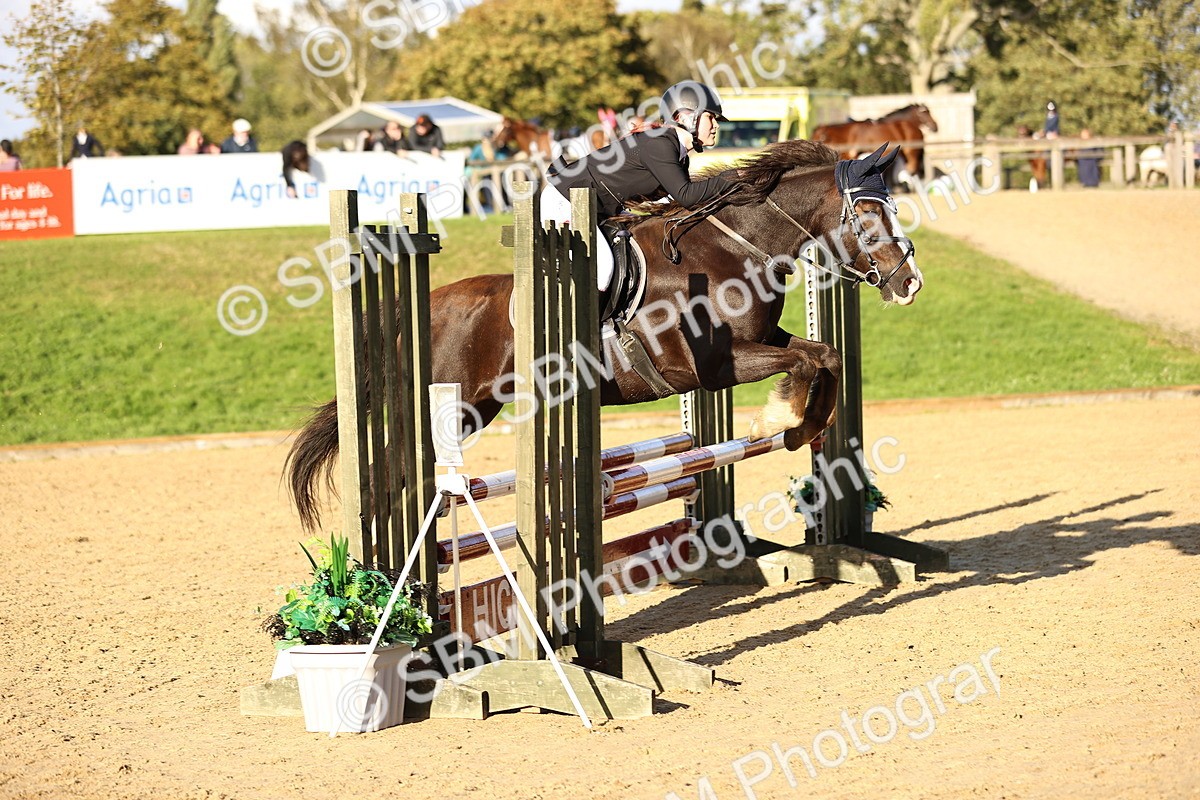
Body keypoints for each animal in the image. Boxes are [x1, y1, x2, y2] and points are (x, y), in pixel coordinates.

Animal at [286, 141, 924, 531]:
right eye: (870, 217)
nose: (909, 283)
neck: (733, 247)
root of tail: (425, 306)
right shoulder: (711, 368)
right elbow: (810, 361)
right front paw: (782, 421)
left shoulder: (763, 342)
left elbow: (823, 355)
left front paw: (798, 427)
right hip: (453, 406)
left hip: (479, 405)